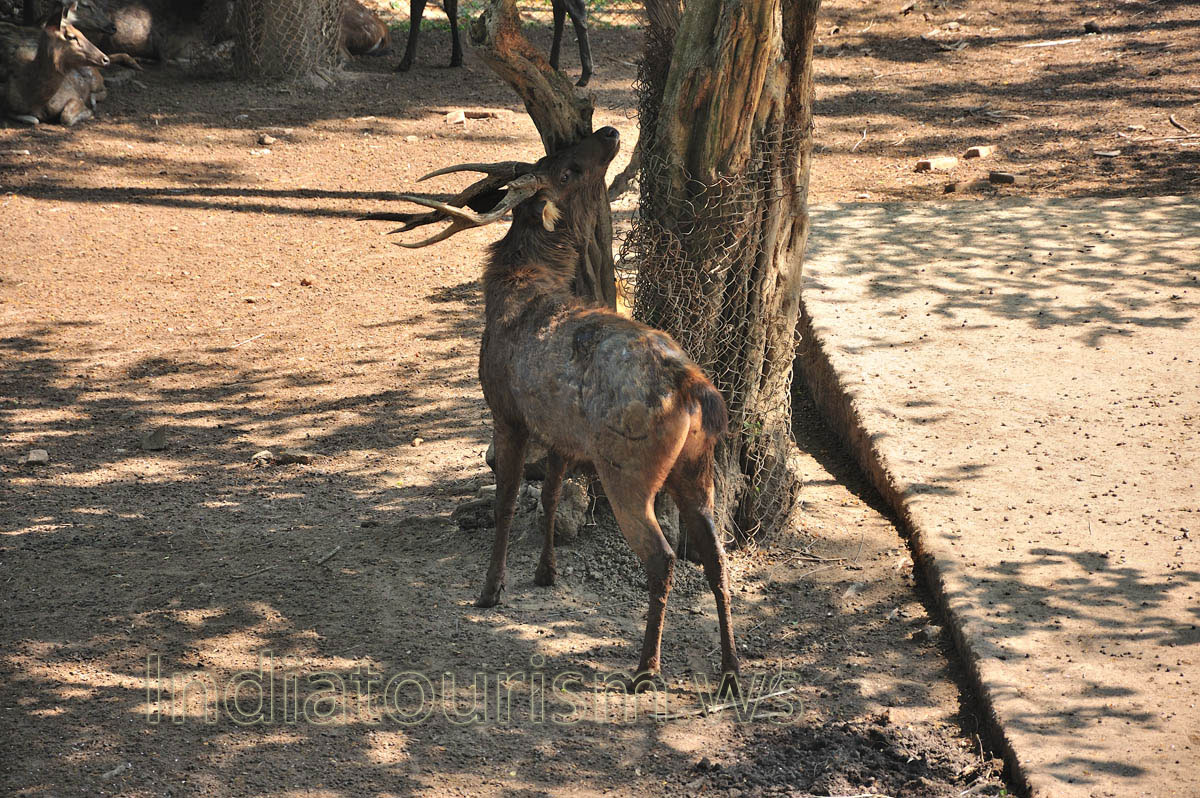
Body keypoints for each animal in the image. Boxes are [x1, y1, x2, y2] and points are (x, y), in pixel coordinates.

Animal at [359, 127, 739, 695]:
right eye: (561, 161)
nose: (608, 132)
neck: (515, 289)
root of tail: (693, 388)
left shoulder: (506, 409)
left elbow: (507, 502)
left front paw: (490, 590)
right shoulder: (561, 431)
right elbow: (553, 494)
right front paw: (546, 572)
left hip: (629, 467)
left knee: (662, 557)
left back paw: (646, 669)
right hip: (697, 465)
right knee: (715, 555)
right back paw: (732, 672)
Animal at [397, 0, 593, 87]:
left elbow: (417, 8)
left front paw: (405, 61)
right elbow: (450, 8)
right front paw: (456, 57)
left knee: (577, 10)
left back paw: (585, 74)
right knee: (560, 9)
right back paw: (554, 64)